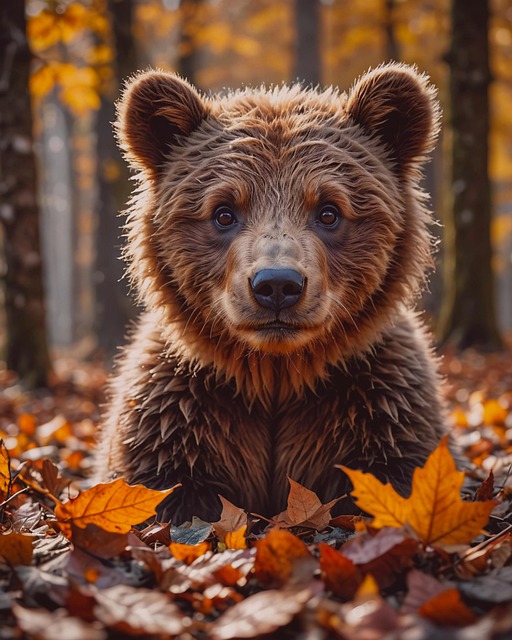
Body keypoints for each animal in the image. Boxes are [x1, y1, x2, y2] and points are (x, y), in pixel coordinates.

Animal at [95, 62, 445, 524]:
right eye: (224, 211)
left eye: (329, 211)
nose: (277, 284)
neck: (276, 375)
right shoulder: (180, 417)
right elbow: (165, 485)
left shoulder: (378, 408)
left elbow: (395, 469)